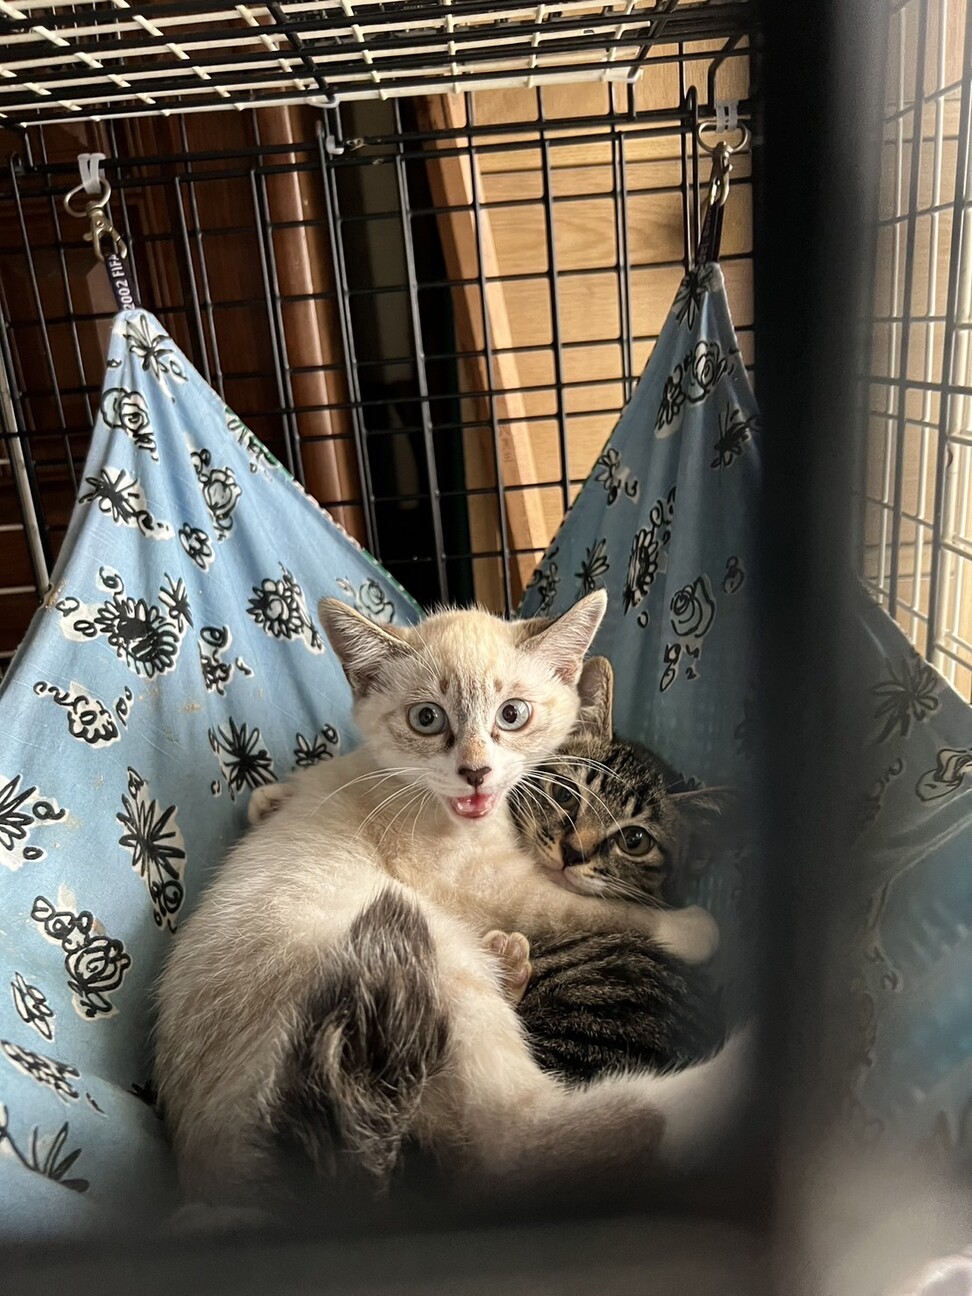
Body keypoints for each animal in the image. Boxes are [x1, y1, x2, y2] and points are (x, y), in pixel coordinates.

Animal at [154, 591, 745, 1212]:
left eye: (513, 714)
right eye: (427, 719)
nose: (476, 772)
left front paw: (269, 797)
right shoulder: (482, 881)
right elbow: (573, 904)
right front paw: (691, 928)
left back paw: (511, 962)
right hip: (425, 958)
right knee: (524, 1145)